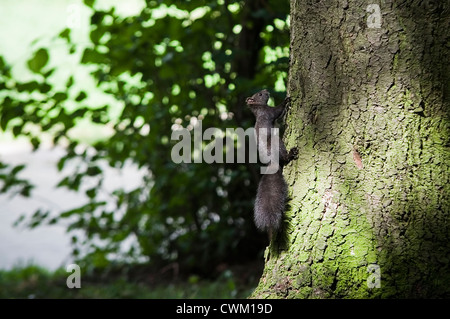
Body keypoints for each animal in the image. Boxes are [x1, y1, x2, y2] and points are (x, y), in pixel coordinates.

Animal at [244, 89, 298, 238]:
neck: (258, 109)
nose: (266, 90)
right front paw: (286, 100)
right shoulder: (269, 112)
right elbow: (278, 111)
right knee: (284, 157)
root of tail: (272, 162)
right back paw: (291, 154)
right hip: (277, 143)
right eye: (260, 95)